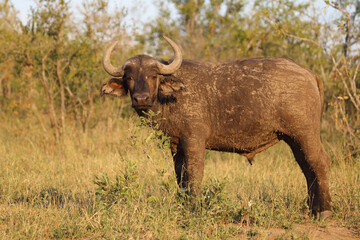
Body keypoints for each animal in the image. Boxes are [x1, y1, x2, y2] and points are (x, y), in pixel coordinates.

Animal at [100, 35, 332, 219]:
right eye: (129, 77)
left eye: (152, 76)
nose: (140, 98)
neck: (170, 99)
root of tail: (308, 73)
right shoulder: (175, 146)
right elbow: (180, 175)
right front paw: (183, 204)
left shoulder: (194, 141)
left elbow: (194, 173)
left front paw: (194, 208)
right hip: (294, 139)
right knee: (306, 167)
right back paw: (312, 208)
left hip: (304, 134)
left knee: (318, 162)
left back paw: (324, 211)